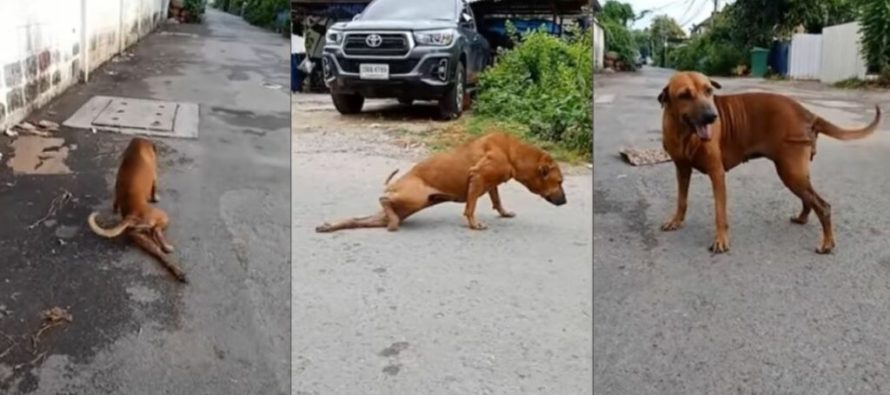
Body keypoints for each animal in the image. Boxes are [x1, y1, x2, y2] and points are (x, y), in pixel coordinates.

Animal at [87, 138, 186, 284]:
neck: (138, 148)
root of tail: (132, 215)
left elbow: (115, 200)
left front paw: (115, 208)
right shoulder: (155, 177)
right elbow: (154, 188)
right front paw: (155, 197)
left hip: (141, 238)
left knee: (158, 251)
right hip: (163, 216)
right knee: (156, 231)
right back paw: (167, 247)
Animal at [316, 131, 564, 234]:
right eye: (560, 181)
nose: (565, 201)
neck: (512, 152)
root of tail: (393, 186)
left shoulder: (490, 183)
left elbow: (497, 199)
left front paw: (503, 212)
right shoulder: (477, 177)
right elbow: (470, 208)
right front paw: (474, 225)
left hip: (402, 208)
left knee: (358, 219)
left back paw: (329, 225)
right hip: (415, 197)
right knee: (383, 198)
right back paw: (391, 219)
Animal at [656, 72, 876, 254]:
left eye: (709, 91)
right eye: (684, 95)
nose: (712, 116)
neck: (684, 132)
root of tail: (808, 113)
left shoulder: (717, 174)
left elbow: (720, 213)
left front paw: (721, 239)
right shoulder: (682, 170)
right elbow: (681, 199)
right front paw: (676, 220)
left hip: (790, 172)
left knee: (823, 206)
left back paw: (827, 243)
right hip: (794, 172)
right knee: (808, 198)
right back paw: (802, 218)